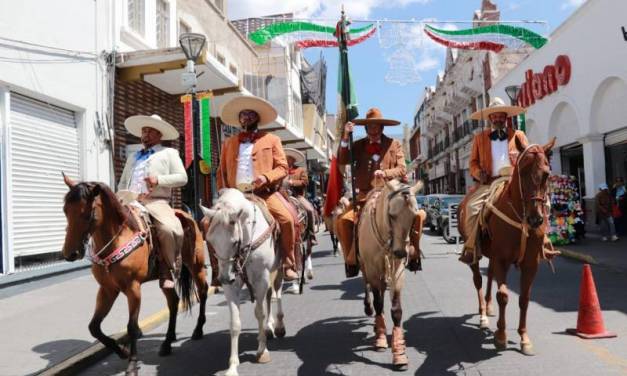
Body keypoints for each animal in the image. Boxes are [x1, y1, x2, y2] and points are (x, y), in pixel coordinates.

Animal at [60, 176, 209, 376]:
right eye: (65, 210)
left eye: (87, 214)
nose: (70, 254)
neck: (118, 238)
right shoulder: (107, 289)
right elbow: (94, 327)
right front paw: (121, 351)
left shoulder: (133, 288)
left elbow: (132, 327)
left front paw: (131, 364)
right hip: (166, 279)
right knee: (173, 302)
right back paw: (167, 342)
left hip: (196, 265)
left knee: (203, 292)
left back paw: (198, 330)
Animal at [202, 189, 286, 376]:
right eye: (210, 241)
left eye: (234, 242)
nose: (224, 278)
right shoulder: (232, 286)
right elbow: (235, 323)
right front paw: (232, 366)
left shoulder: (261, 278)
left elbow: (259, 313)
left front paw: (262, 351)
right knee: (269, 295)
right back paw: (269, 328)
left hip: (278, 268)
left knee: (277, 292)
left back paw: (278, 326)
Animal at [358, 179, 422, 370]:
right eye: (392, 215)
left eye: (413, 216)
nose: (400, 252)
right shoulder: (372, 269)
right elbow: (379, 303)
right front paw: (380, 339)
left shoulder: (396, 269)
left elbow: (396, 310)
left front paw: (399, 354)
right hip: (365, 267)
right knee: (367, 286)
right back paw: (368, 308)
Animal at [458, 138, 556, 356]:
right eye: (522, 170)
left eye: (546, 173)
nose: (536, 219)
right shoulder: (502, 259)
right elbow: (503, 295)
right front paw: (501, 336)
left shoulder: (530, 264)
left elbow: (524, 299)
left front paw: (524, 338)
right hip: (475, 255)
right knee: (478, 280)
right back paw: (483, 315)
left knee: (489, 275)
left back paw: (488, 307)